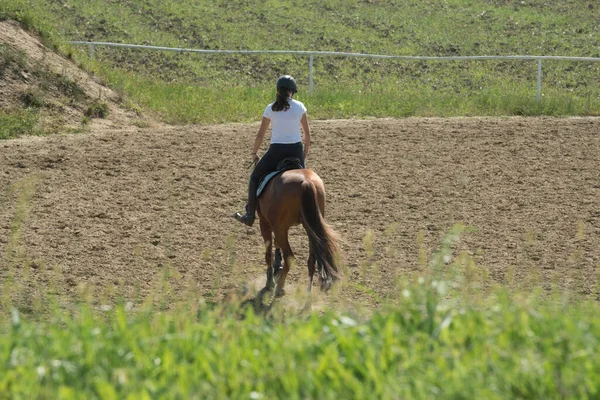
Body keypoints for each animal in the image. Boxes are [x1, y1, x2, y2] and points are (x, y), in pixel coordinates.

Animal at [254, 166, 342, 306]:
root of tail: (306, 181)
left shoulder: (264, 222)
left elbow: (268, 253)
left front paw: (270, 283)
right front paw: (276, 267)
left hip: (280, 228)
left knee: (289, 256)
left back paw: (279, 288)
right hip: (310, 226)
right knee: (311, 260)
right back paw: (308, 294)